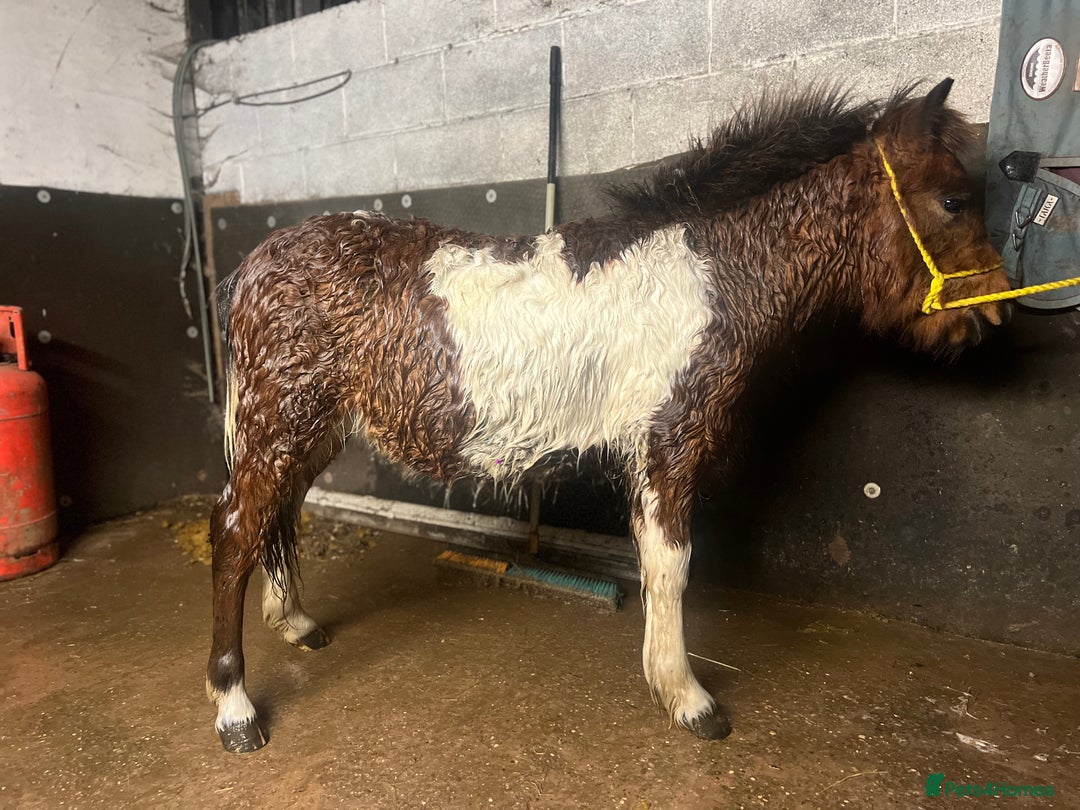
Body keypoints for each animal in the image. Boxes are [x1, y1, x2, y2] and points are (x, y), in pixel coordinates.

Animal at [205, 77, 1011, 753]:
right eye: (953, 200)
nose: (993, 316)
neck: (713, 274)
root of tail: (255, 265)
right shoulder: (669, 442)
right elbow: (671, 563)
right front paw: (688, 698)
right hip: (281, 420)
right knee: (238, 528)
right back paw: (235, 707)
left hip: (311, 426)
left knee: (279, 515)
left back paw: (298, 624)